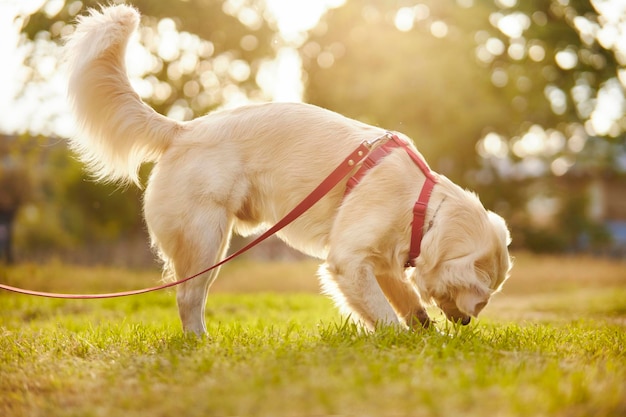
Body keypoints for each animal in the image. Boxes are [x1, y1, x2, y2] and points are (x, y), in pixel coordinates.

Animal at [66, 4, 510, 334]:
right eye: (481, 298)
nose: (467, 323)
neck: (421, 205)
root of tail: (182, 129)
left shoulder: (381, 263)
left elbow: (408, 303)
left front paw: (426, 335)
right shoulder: (349, 260)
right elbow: (384, 316)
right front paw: (400, 343)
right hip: (206, 238)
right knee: (187, 298)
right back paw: (199, 344)